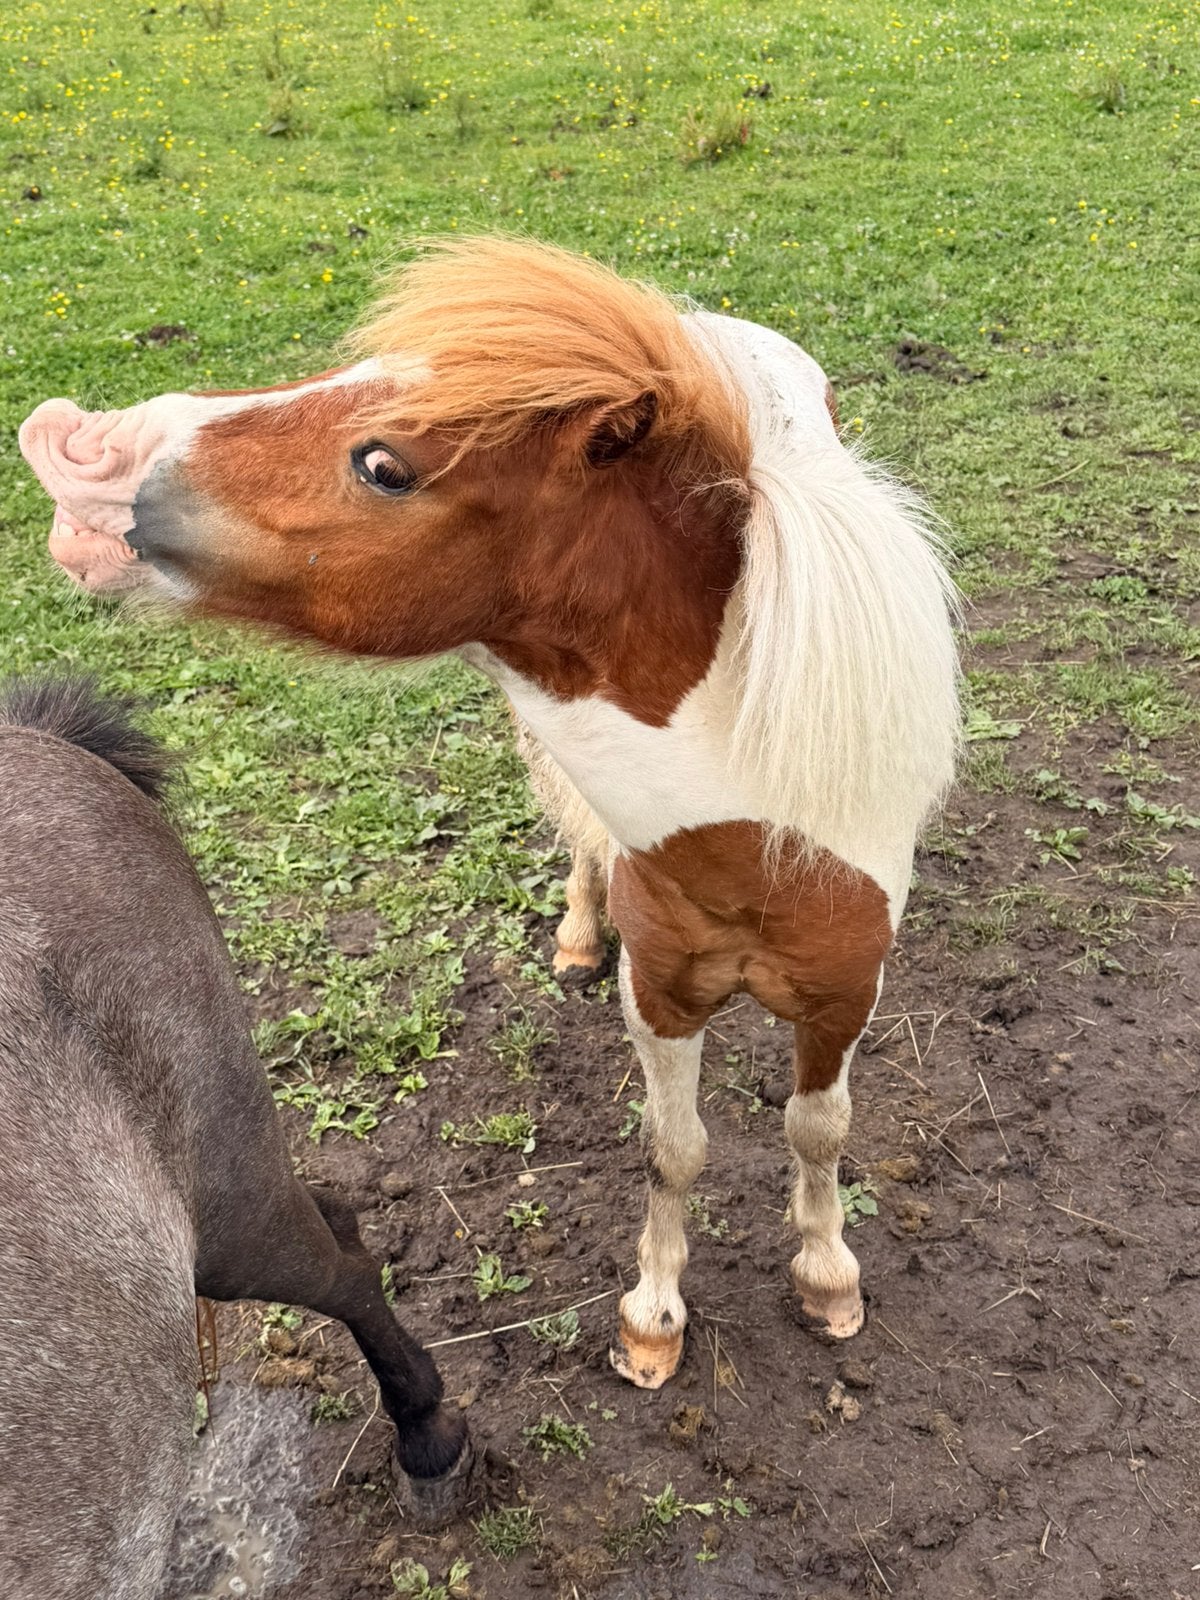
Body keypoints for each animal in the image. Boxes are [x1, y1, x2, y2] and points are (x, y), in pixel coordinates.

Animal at [19, 236, 960, 1391]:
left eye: (384, 465)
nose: (74, 440)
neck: (752, 837)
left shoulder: (843, 996)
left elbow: (818, 1129)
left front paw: (828, 1278)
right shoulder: (662, 996)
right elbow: (675, 1147)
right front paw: (654, 1319)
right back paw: (578, 931)